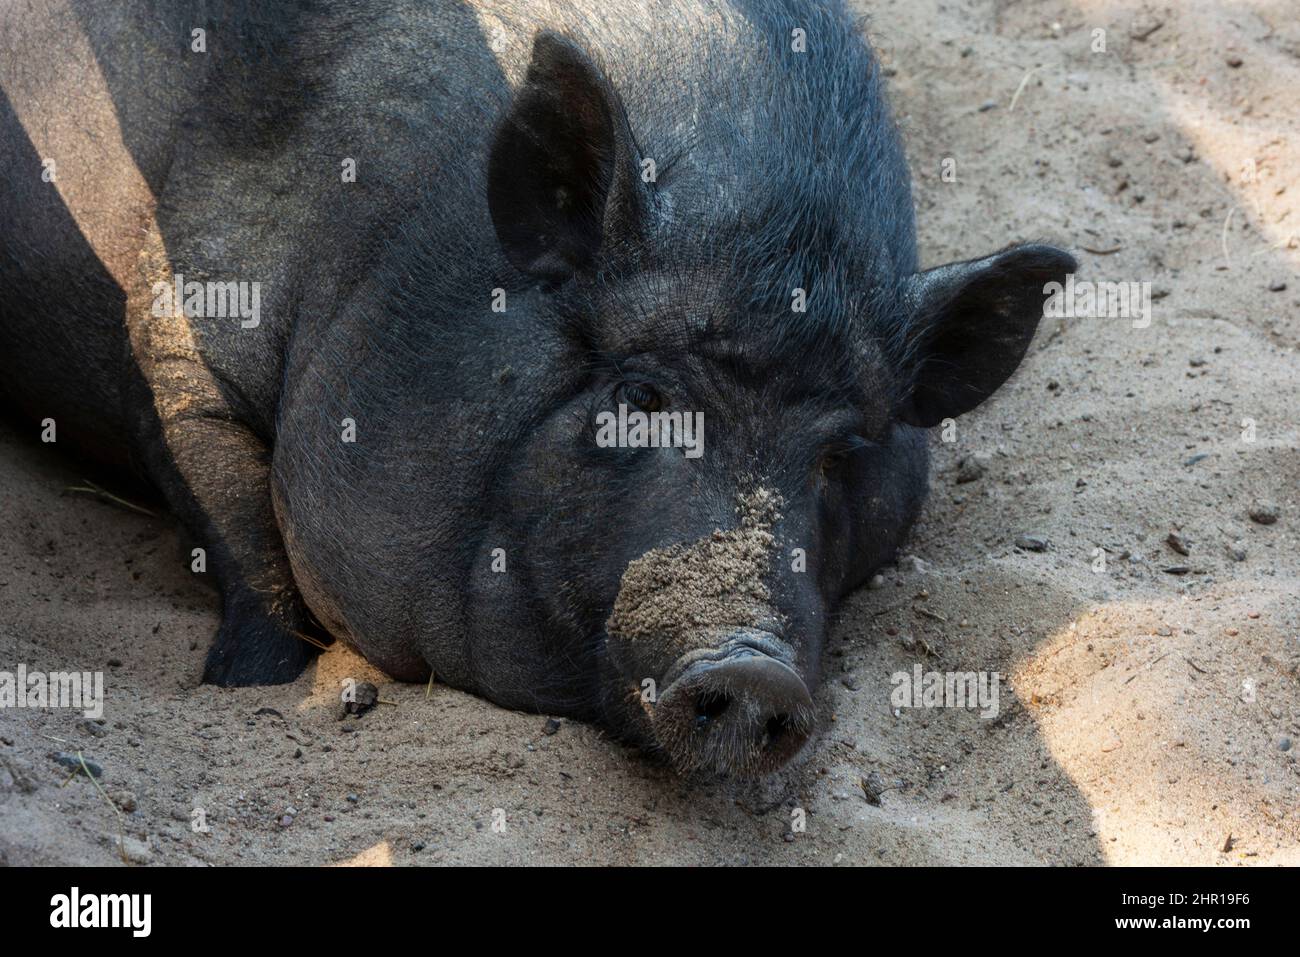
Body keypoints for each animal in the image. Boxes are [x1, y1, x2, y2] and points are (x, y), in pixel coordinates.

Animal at [2, 0, 1076, 774]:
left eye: (843, 452)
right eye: (641, 396)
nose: (754, 668)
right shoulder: (178, 325)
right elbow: (235, 518)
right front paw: (246, 686)